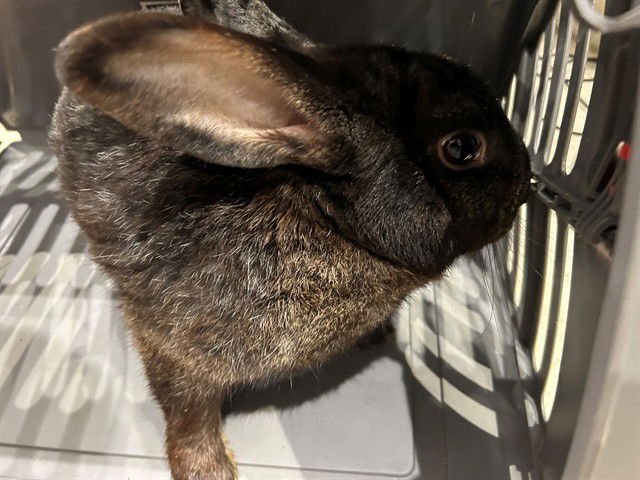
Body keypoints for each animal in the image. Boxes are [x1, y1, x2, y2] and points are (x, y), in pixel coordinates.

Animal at [49, 1, 530, 478]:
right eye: (462, 148)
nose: (527, 185)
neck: (323, 216)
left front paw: (380, 334)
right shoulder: (172, 351)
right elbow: (187, 414)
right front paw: (209, 468)